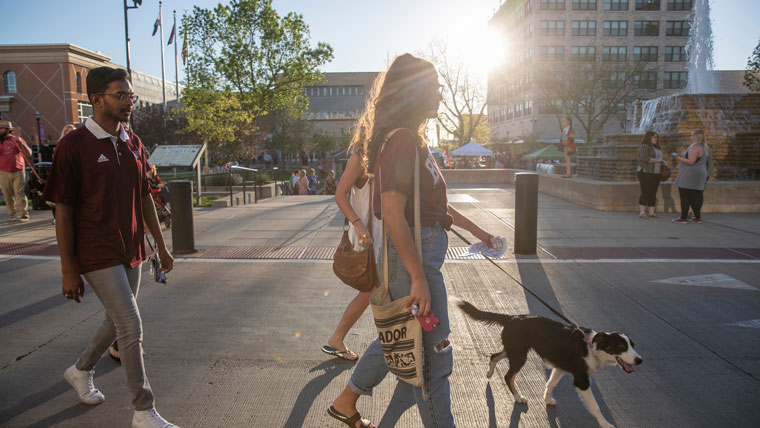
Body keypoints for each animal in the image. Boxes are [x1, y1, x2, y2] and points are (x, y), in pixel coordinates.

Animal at [454, 298, 644, 428]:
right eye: (621, 347)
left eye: (633, 345)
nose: (639, 360)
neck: (591, 346)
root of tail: (512, 317)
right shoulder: (582, 380)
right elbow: (595, 407)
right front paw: (605, 424)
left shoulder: (560, 368)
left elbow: (551, 383)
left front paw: (546, 399)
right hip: (519, 355)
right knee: (508, 376)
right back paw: (517, 397)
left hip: (514, 350)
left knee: (494, 356)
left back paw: (489, 372)